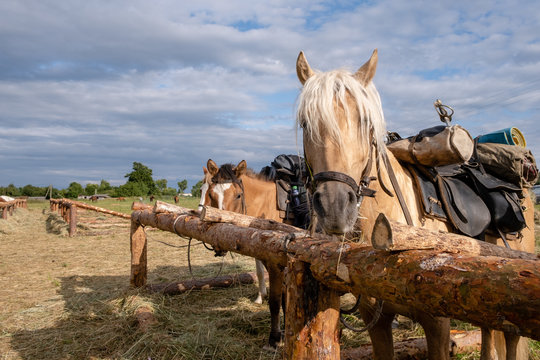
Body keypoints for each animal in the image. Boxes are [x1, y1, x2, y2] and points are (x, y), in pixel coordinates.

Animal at [294, 50, 532, 360]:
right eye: (305, 124)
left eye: (365, 123)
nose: (335, 207)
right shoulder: (377, 322)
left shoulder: (437, 323)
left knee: (512, 340)